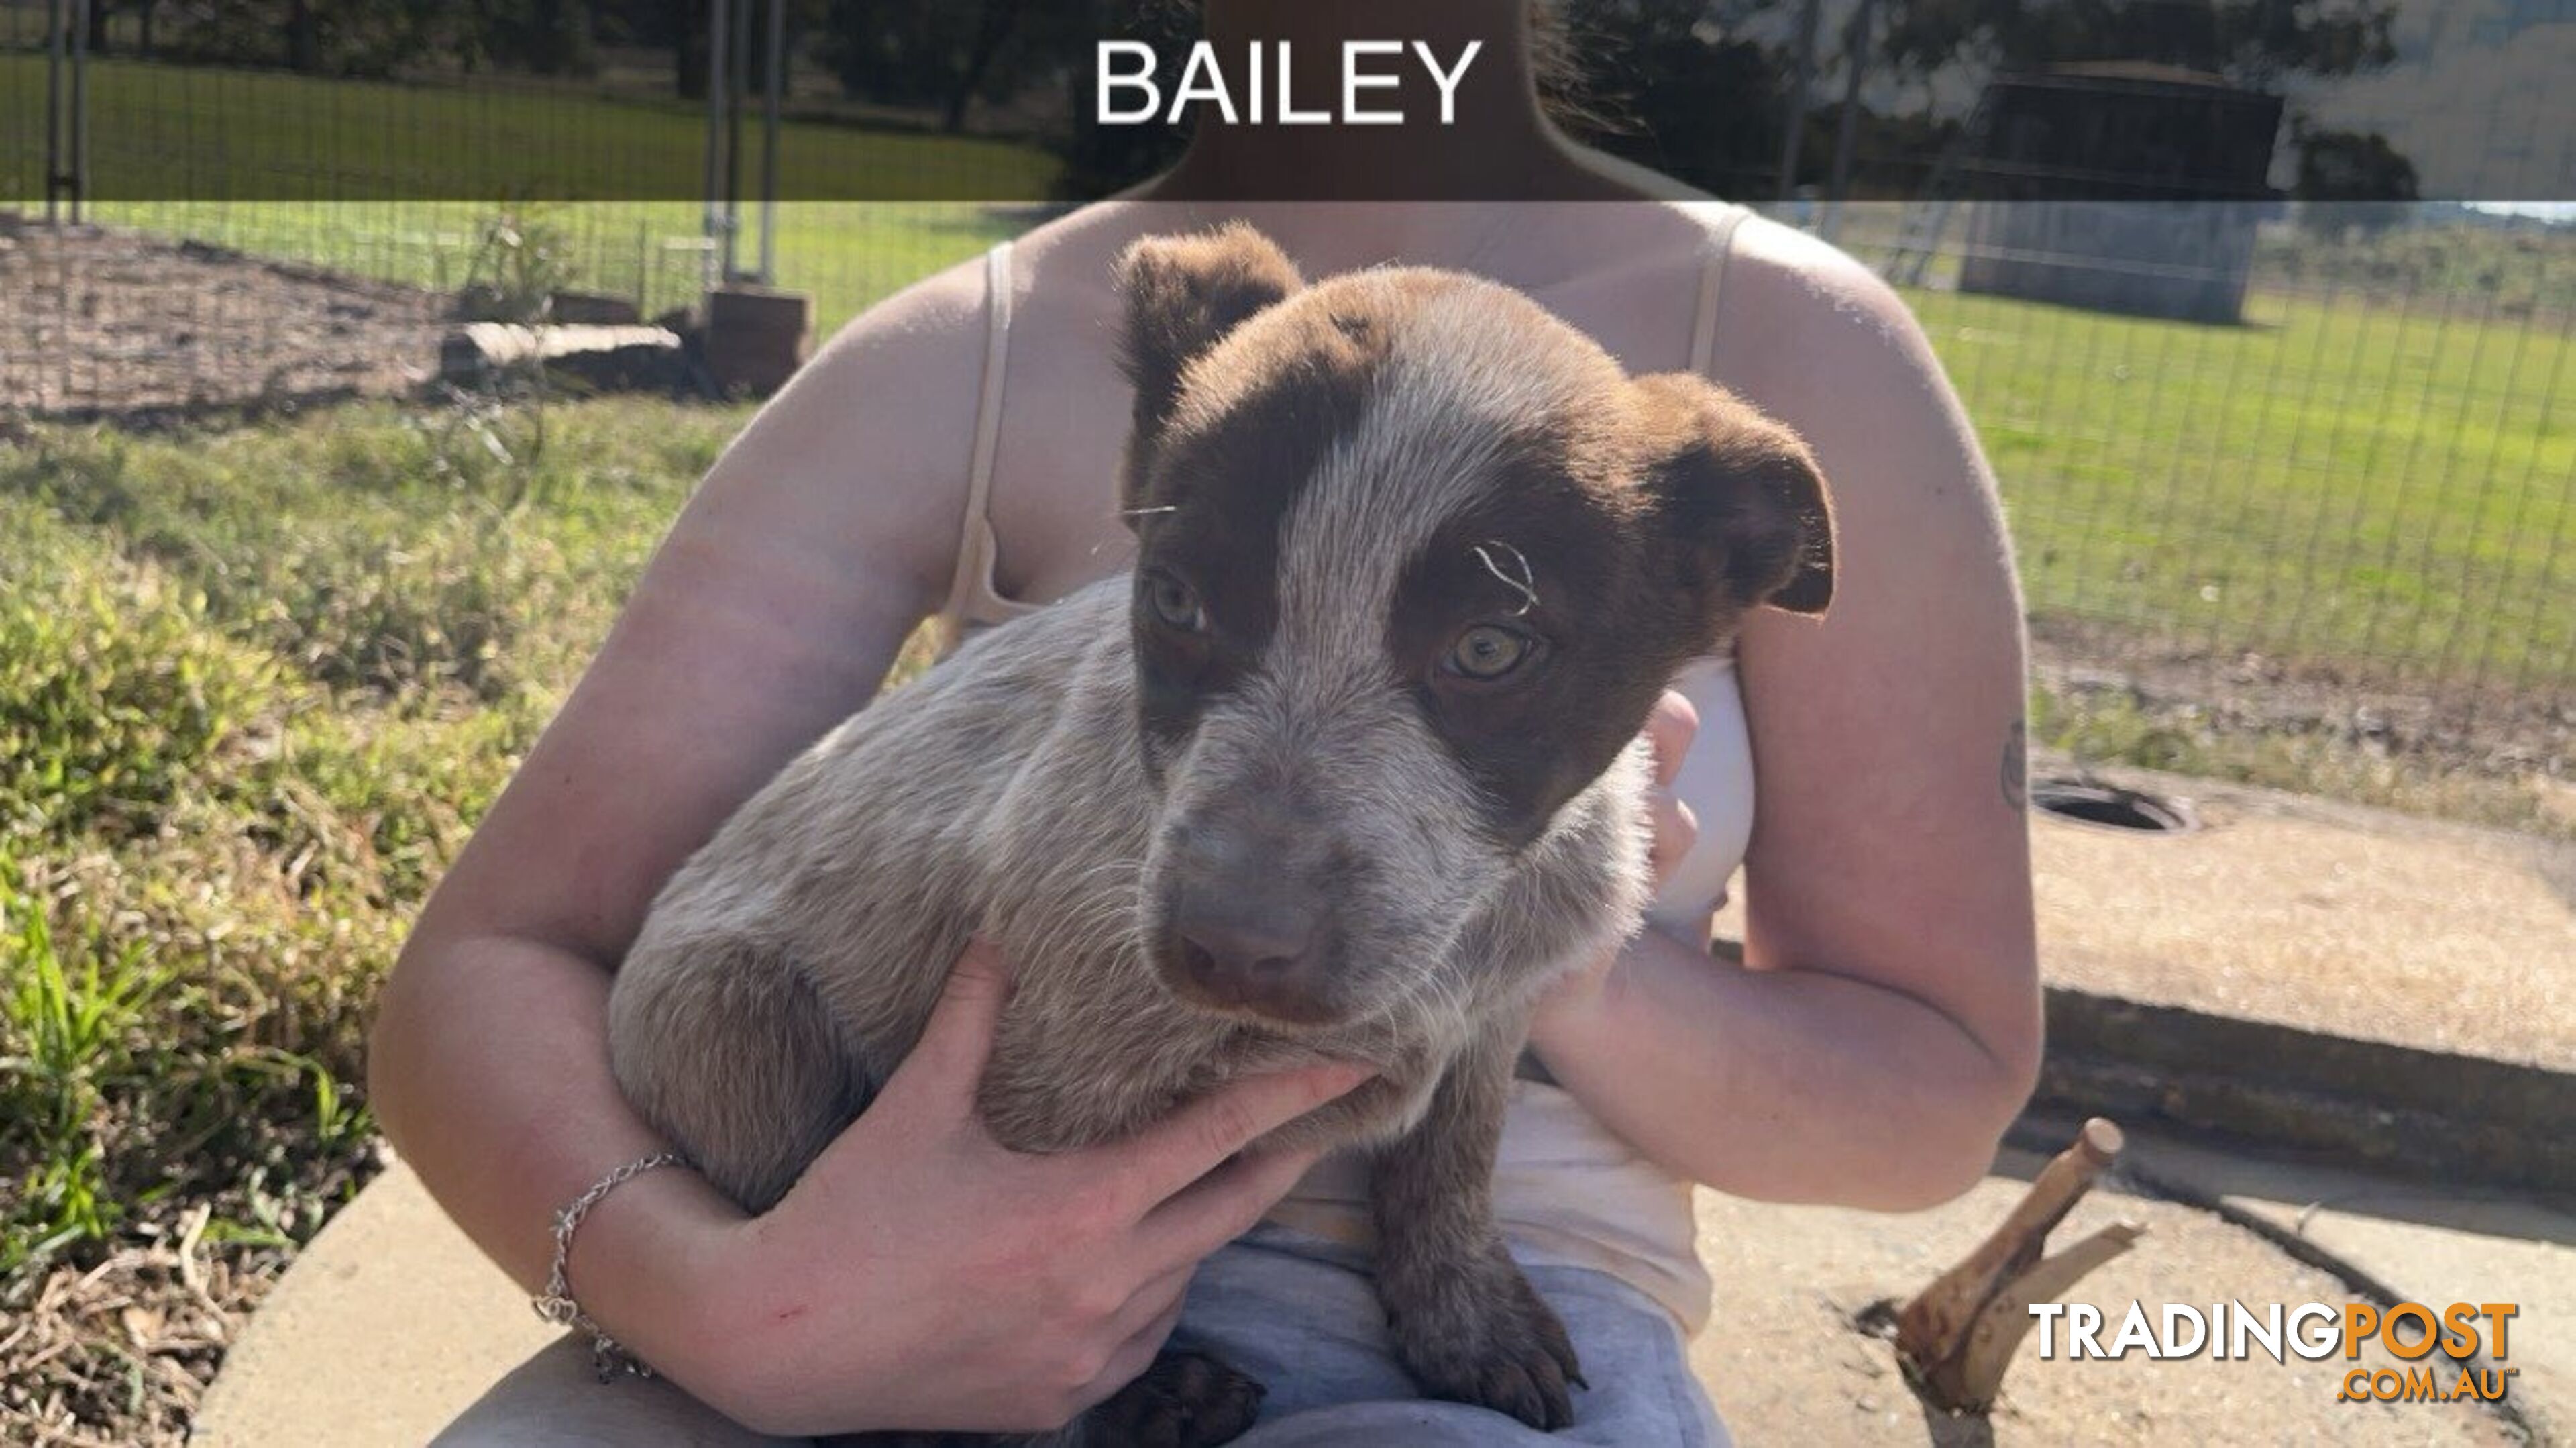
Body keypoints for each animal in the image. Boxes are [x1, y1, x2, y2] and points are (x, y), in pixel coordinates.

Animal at [608, 225, 1834, 1443]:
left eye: (1491, 648)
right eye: (1177, 600)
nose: (1227, 949)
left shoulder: (1498, 1009)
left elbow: (1453, 1157)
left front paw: (1465, 1315)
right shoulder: (1036, 1125)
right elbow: (997, 1363)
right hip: (737, 1017)